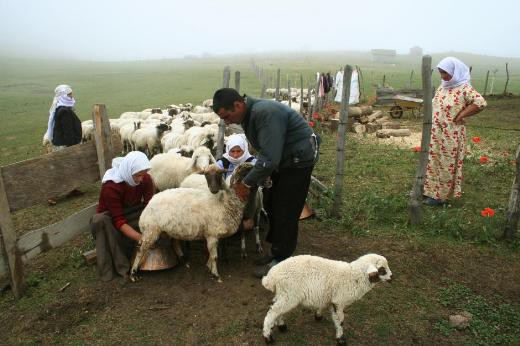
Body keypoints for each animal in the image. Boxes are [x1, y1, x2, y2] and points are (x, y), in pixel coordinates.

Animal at [262, 253, 392, 344]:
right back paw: (268, 337)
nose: (391, 278)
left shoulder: (328, 297)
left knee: (277, 309)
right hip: (290, 294)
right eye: (382, 270)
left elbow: (324, 306)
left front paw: (318, 316)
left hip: (284, 294)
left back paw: (281, 326)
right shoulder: (339, 301)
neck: (354, 276)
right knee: (272, 312)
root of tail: (271, 277)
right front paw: (340, 338)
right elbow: (340, 320)